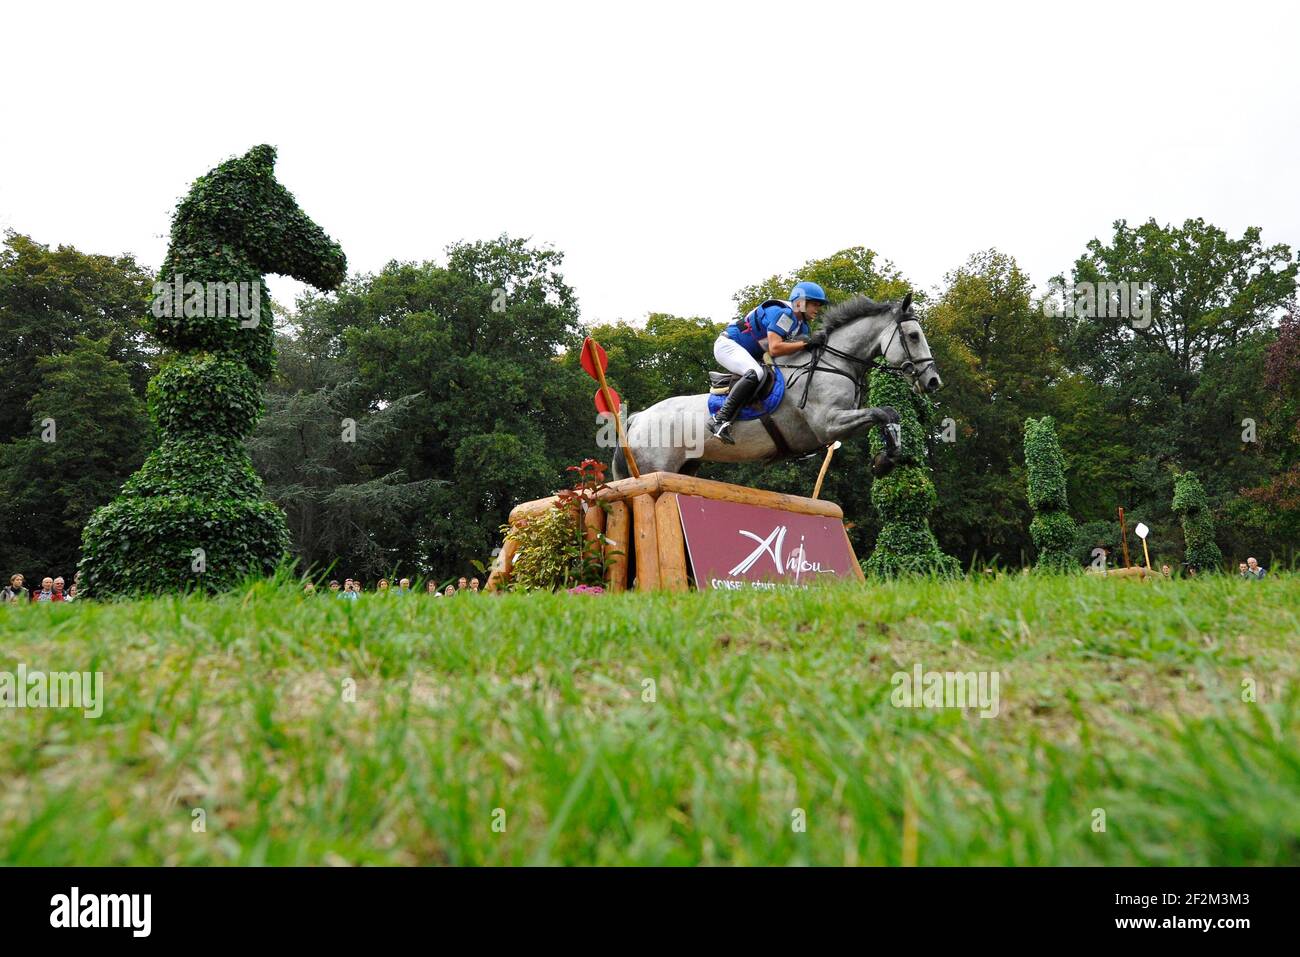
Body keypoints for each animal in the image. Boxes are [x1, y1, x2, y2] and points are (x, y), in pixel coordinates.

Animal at [613, 293, 941, 478]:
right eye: (913, 336)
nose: (933, 381)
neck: (834, 362)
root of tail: (638, 417)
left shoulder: (841, 425)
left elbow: (889, 414)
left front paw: (884, 461)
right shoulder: (828, 424)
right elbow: (883, 412)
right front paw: (884, 462)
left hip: (685, 468)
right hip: (657, 468)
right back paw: (720, 425)